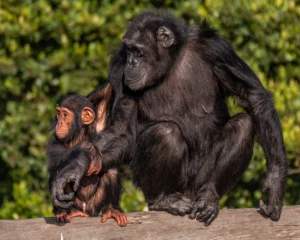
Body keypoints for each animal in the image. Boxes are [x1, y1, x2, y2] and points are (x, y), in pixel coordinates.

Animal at [47, 90, 126, 227]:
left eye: (65, 115)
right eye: (58, 114)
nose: (59, 123)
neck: (78, 134)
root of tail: (86, 210)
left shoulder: (99, 126)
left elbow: (114, 139)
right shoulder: (55, 137)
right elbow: (55, 157)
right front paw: (87, 148)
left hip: (95, 204)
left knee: (111, 170)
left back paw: (112, 209)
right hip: (74, 203)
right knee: (58, 169)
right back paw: (63, 212)